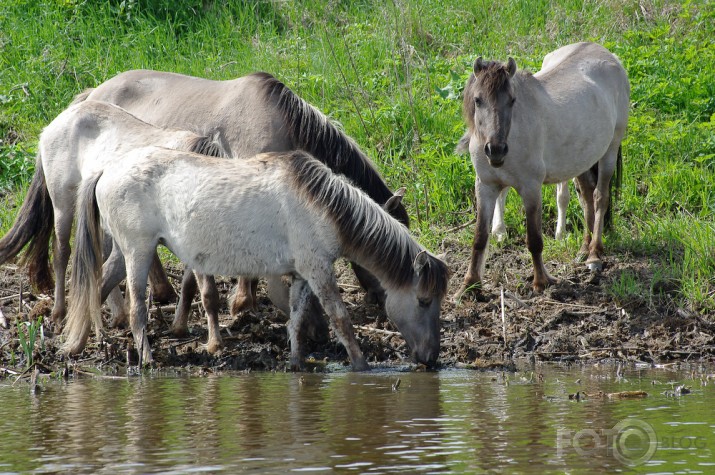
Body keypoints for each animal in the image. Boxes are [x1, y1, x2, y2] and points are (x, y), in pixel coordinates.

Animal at [0, 99, 224, 328]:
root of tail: (53, 125)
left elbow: (191, 283)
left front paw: (180, 326)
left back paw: (115, 314)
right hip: (63, 203)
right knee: (62, 252)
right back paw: (59, 312)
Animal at [63, 147, 454, 370]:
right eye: (423, 301)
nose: (431, 358)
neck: (323, 205)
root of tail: (107, 169)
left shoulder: (303, 274)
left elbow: (295, 320)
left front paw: (296, 363)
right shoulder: (319, 272)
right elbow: (341, 321)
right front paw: (361, 366)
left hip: (123, 252)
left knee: (97, 288)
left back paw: (74, 345)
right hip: (139, 252)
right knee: (137, 310)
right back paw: (145, 359)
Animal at [456, 42, 628, 300]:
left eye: (512, 100)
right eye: (477, 100)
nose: (496, 150)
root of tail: (608, 54)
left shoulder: (530, 189)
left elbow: (534, 239)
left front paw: (541, 281)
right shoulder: (485, 187)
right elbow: (479, 238)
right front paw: (470, 286)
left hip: (610, 149)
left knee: (600, 198)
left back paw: (594, 254)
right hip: (581, 160)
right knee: (587, 198)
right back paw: (583, 248)